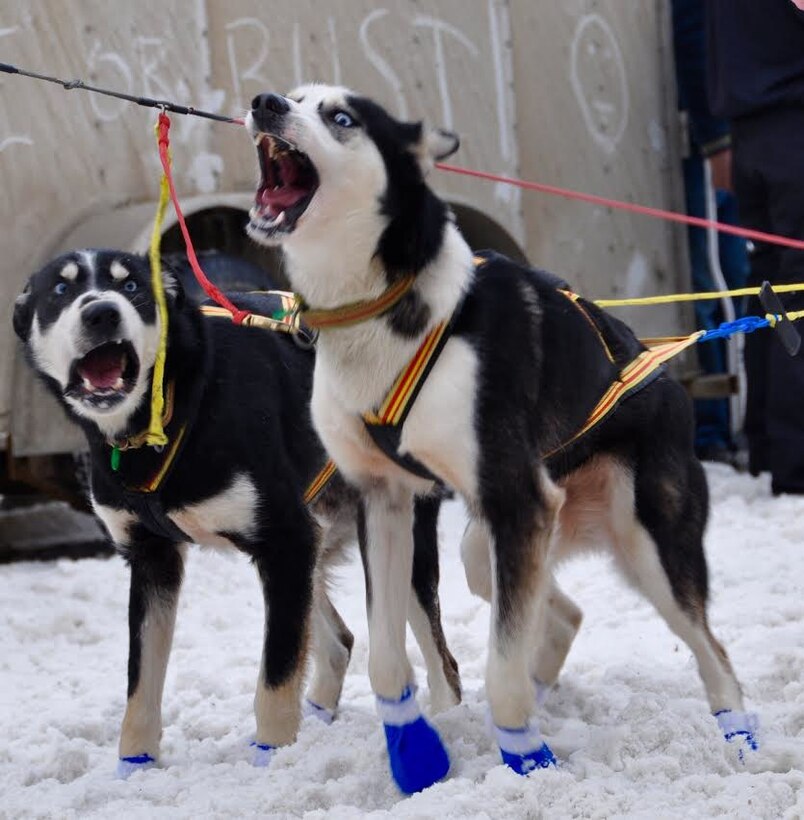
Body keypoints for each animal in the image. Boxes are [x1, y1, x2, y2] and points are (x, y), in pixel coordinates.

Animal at [12, 253, 462, 780]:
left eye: (134, 288)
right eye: (60, 291)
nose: (101, 312)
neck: (176, 405)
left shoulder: (285, 541)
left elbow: (275, 678)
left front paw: (271, 760)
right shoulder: (153, 558)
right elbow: (140, 685)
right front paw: (134, 767)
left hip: (385, 549)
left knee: (443, 665)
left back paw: (451, 725)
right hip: (309, 552)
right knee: (340, 642)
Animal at [245, 85, 760, 796]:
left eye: (340, 117)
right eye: (295, 97)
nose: (264, 103)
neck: (382, 308)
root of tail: (669, 376)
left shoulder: (516, 499)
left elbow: (497, 667)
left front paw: (525, 757)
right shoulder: (385, 500)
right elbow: (386, 659)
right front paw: (415, 754)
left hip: (640, 546)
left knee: (716, 655)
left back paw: (740, 745)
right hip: (493, 542)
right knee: (561, 615)